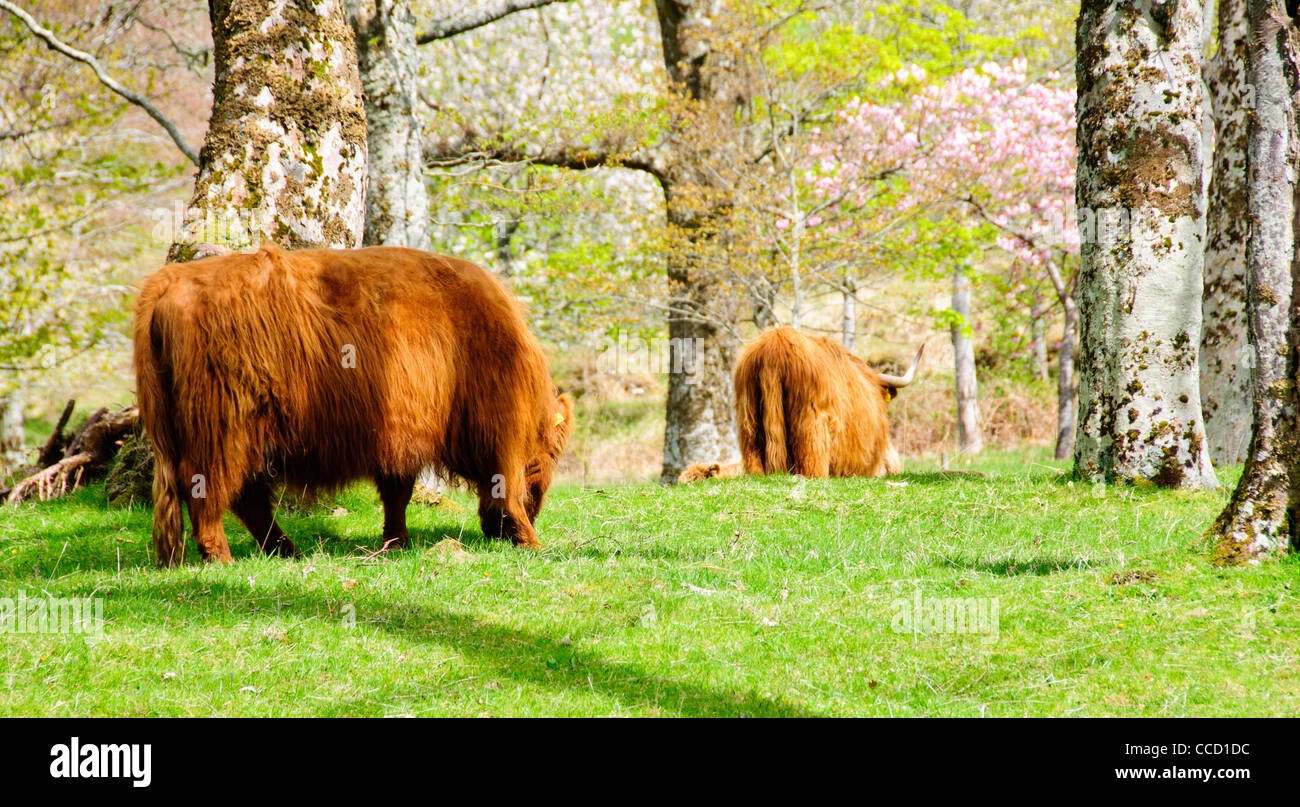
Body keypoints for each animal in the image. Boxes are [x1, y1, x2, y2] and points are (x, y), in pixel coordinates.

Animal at [133, 241, 574, 563]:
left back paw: (285, 550)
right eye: (553, 455)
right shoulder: (496, 431)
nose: (537, 507)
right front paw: (528, 538)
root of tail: (170, 280)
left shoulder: (400, 434)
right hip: (225, 431)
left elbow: (397, 494)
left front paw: (397, 542)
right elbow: (504, 486)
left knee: (247, 499)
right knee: (207, 489)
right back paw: (222, 557)